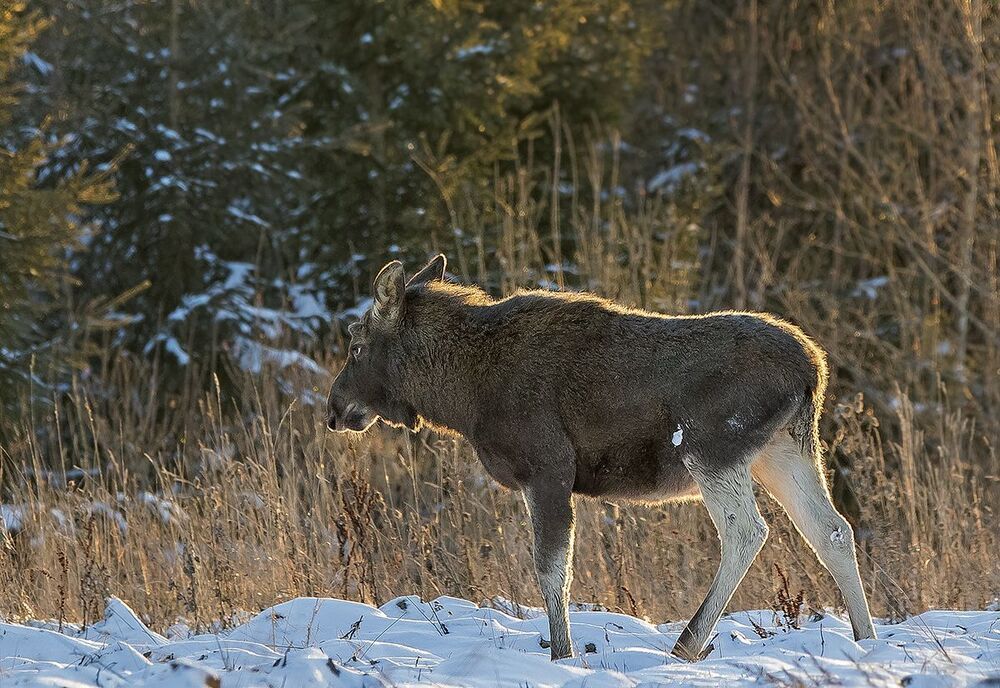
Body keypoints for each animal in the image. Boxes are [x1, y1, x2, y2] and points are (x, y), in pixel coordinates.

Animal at [326, 254, 877, 662]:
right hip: (782, 448)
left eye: (355, 346)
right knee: (832, 529)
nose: (334, 409)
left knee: (747, 531)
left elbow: (552, 569)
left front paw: (562, 653)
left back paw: (686, 644)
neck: (464, 396)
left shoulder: (547, 465)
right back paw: (866, 639)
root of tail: (814, 368)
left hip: (711, 446)